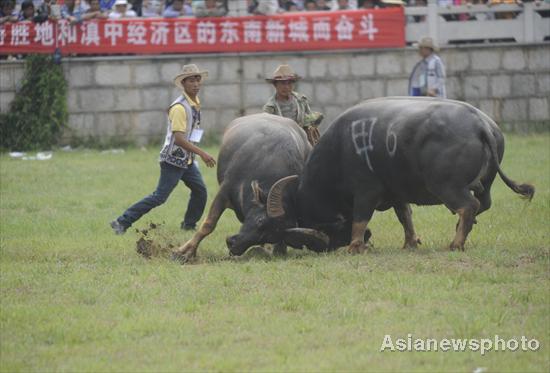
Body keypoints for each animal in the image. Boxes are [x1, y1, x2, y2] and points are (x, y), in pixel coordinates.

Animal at [172, 112, 328, 260]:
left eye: (270, 237)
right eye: (260, 221)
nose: (233, 245)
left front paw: (277, 250)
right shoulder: (224, 190)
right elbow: (209, 224)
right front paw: (184, 252)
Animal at [276, 96, 536, 253]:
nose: (327, 246)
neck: (338, 150)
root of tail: (481, 124)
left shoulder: (366, 190)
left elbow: (360, 218)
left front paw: (355, 246)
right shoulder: (396, 193)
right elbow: (405, 216)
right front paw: (410, 243)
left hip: (446, 185)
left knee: (468, 205)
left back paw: (455, 243)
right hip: (486, 183)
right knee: (483, 203)